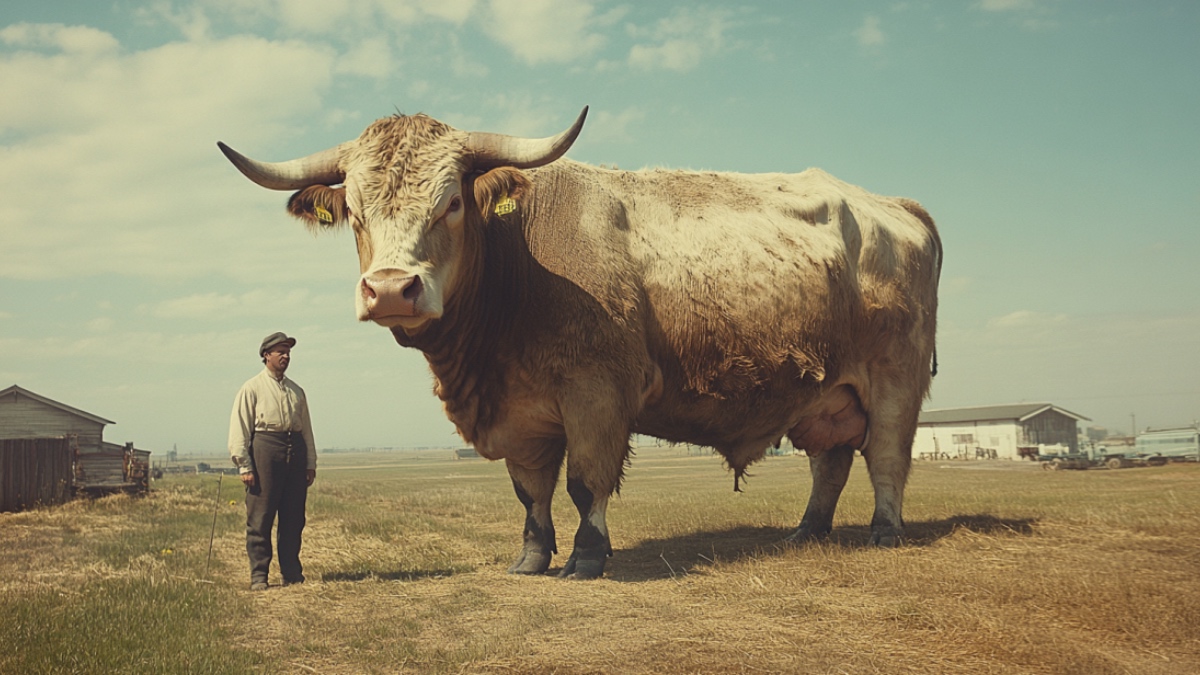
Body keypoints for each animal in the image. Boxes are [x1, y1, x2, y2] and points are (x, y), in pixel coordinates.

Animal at [220, 106, 940, 578]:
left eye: (452, 202)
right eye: (356, 212)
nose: (393, 288)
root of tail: (893, 206)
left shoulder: (597, 392)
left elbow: (584, 480)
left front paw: (588, 557)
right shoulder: (522, 415)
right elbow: (531, 490)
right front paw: (533, 557)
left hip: (896, 380)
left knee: (886, 458)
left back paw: (883, 532)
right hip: (829, 391)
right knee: (831, 460)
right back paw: (806, 531)